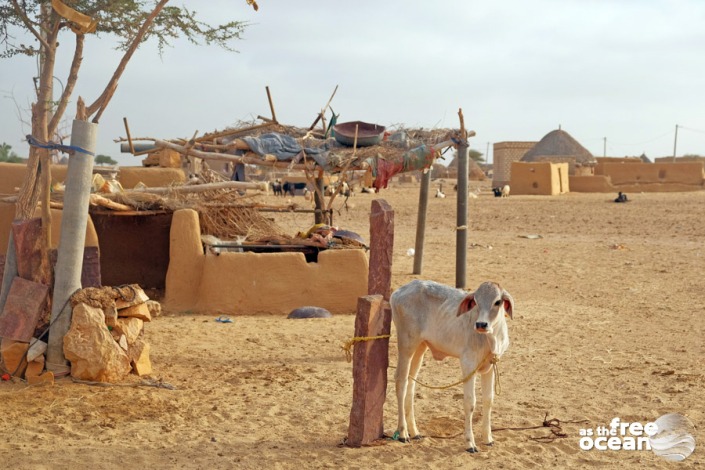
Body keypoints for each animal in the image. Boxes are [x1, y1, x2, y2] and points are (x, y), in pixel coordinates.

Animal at [388, 280, 516, 452]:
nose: (481, 324)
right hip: (406, 344)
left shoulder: (490, 365)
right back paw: (403, 433)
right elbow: (470, 402)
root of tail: (400, 291)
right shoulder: (468, 363)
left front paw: (488, 438)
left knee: (411, 383)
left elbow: (488, 400)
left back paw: (414, 432)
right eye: (476, 301)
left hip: (420, 347)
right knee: (401, 381)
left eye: (497, 302)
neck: (490, 338)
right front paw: (470, 443)